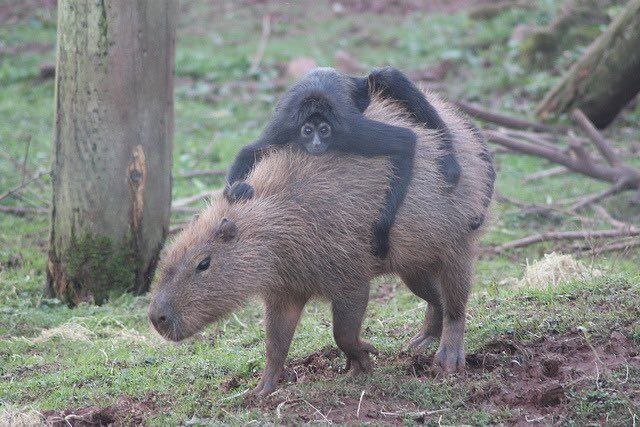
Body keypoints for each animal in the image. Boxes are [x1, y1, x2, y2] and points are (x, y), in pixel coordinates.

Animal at [225, 67, 460, 258]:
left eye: (324, 130)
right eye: (307, 131)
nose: (317, 143)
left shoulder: (350, 129)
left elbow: (405, 141)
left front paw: (381, 230)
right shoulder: (285, 127)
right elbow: (249, 152)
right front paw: (236, 191)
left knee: (386, 76)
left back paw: (449, 156)